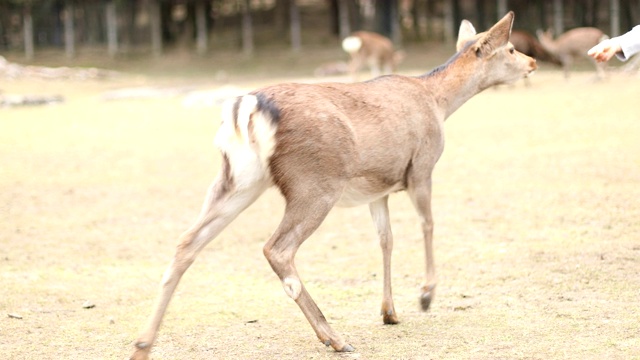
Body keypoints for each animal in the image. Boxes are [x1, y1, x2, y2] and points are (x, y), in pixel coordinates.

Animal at [130, 11, 536, 360]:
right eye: (511, 49)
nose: (533, 62)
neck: (438, 102)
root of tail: (247, 106)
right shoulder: (422, 166)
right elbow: (428, 224)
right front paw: (425, 296)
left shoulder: (379, 189)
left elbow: (386, 240)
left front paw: (390, 312)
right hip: (314, 182)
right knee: (277, 248)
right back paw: (334, 337)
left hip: (237, 179)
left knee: (187, 241)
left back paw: (142, 344)